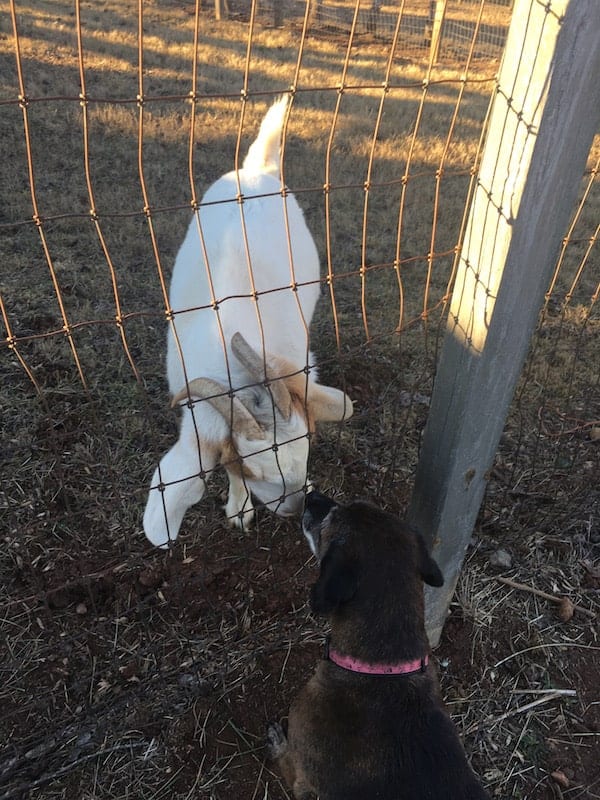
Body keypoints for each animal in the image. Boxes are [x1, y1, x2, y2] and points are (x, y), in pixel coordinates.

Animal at [268, 490, 488, 800]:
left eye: (331, 518)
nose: (312, 495)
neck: (383, 667)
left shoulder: (302, 775)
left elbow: (287, 761)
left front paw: (277, 742)